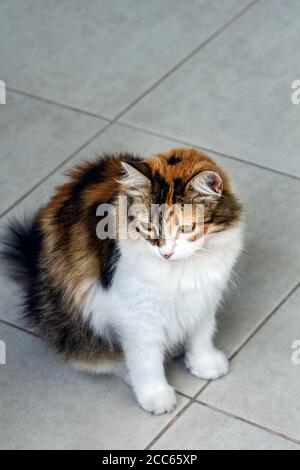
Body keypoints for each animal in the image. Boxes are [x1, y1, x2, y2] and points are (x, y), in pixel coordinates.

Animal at [1, 148, 243, 414]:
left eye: (186, 228)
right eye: (148, 227)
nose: (166, 253)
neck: (182, 270)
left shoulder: (204, 299)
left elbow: (201, 335)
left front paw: (205, 364)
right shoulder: (137, 315)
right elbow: (145, 360)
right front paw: (156, 396)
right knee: (106, 358)